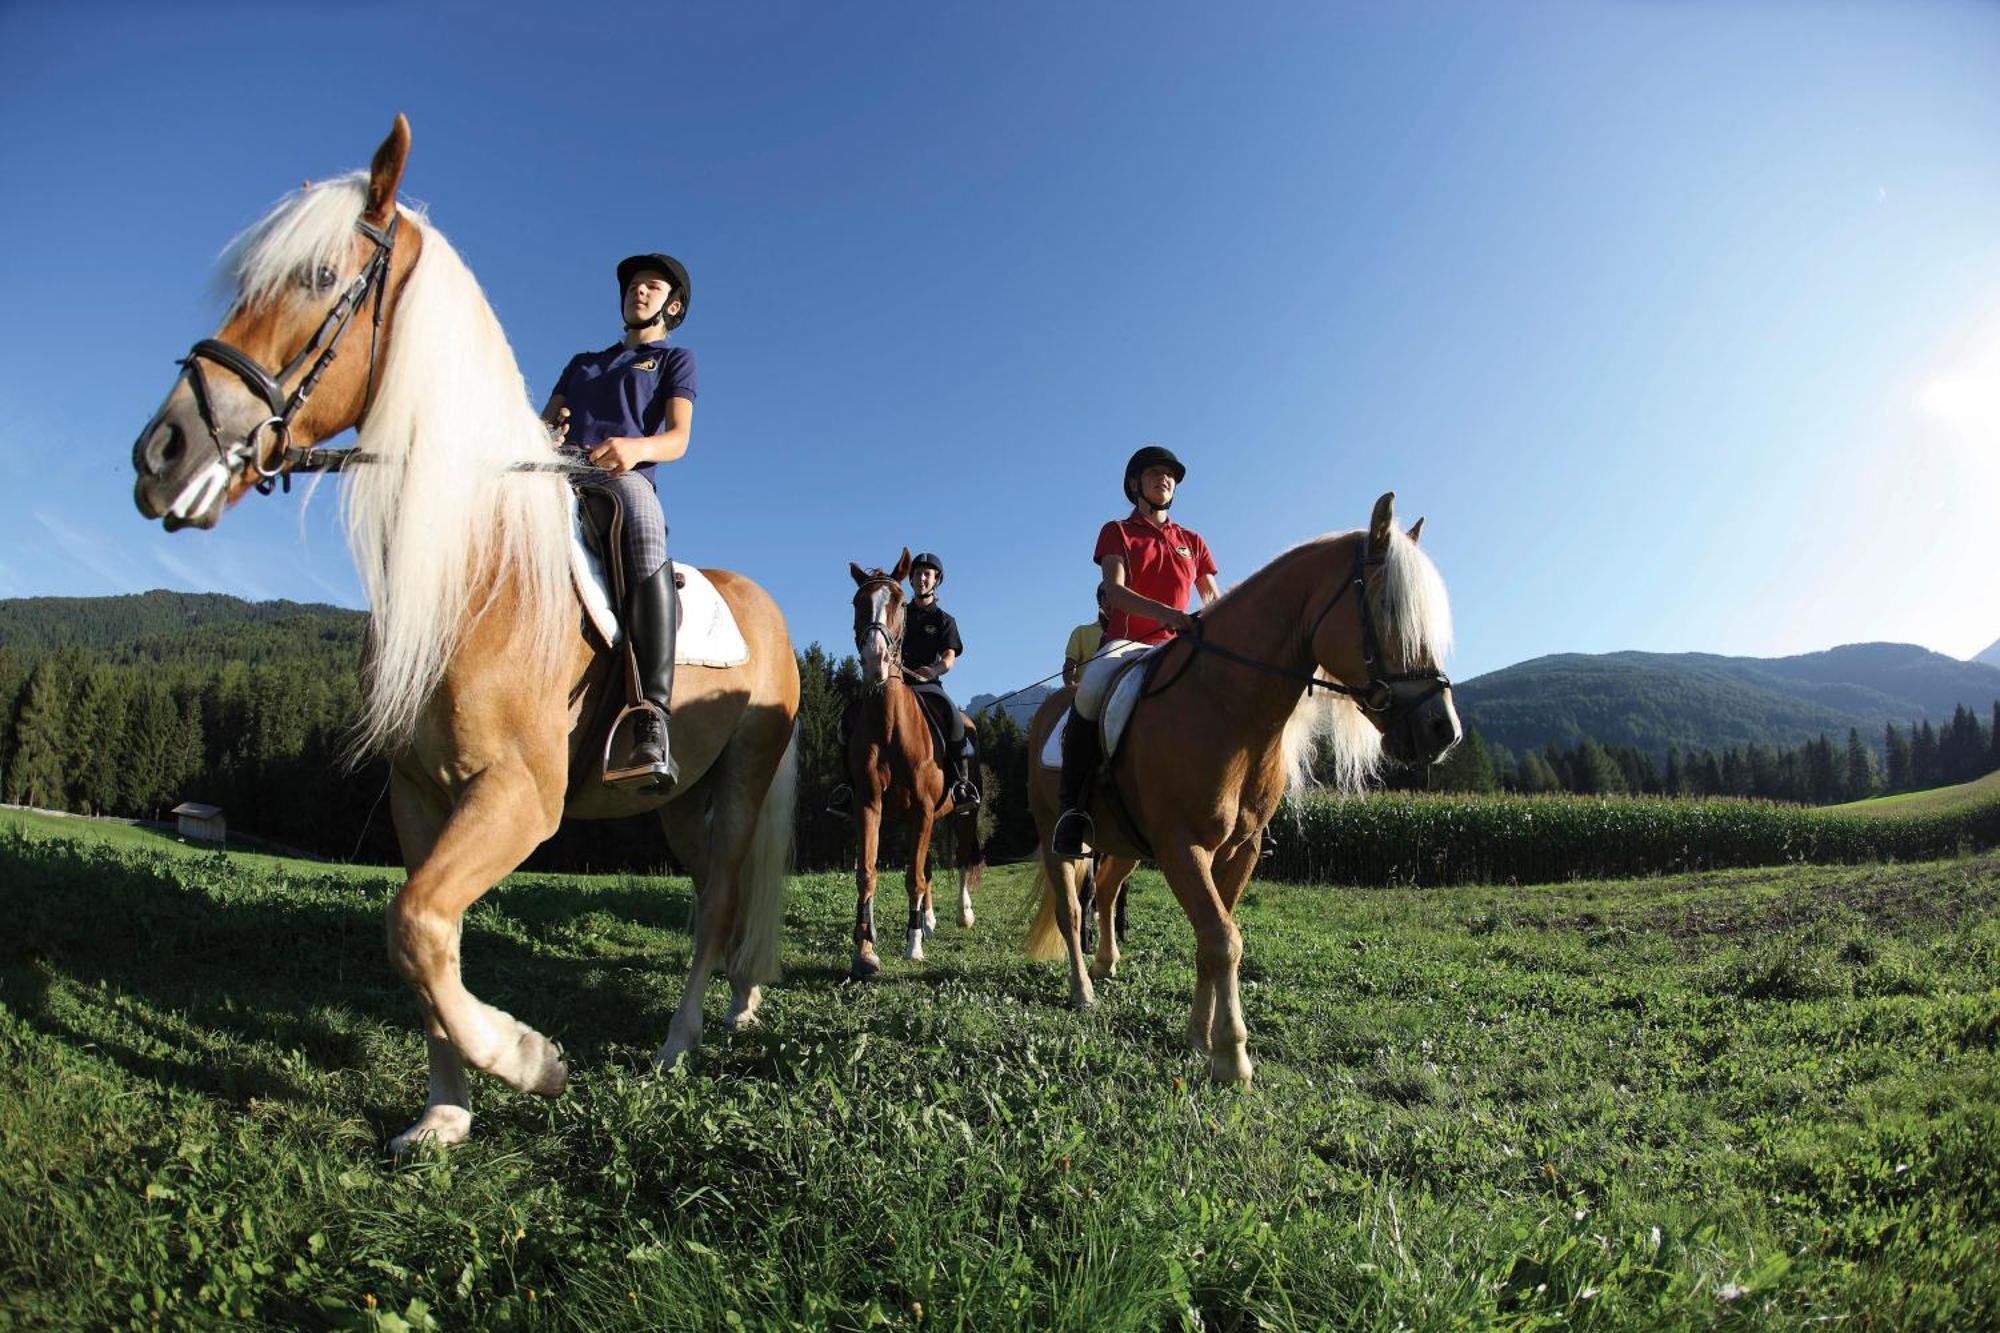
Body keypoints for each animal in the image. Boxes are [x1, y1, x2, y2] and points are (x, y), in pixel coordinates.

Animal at [127, 116, 804, 1152]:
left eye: (318, 277)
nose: (164, 452)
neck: (476, 572)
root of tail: (767, 606)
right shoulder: (420, 793)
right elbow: (423, 935)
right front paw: (445, 1109)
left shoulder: (521, 796)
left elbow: (414, 923)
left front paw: (530, 1060)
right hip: (678, 800)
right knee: (710, 908)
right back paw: (735, 1005)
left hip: (740, 781)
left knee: (722, 901)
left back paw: (676, 1045)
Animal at [844, 548, 984, 976]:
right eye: (857, 602)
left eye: (899, 602)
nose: (875, 660)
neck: (892, 726)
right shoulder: (870, 804)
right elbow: (868, 873)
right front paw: (865, 950)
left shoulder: (923, 809)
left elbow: (913, 878)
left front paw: (913, 944)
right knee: (929, 869)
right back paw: (930, 919)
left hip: (962, 814)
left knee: (960, 859)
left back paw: (961, 915)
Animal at [1024, 492, 1464, 1088]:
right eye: (1389, 610)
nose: (1444, 730)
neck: (1226, 703)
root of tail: (1054, 702)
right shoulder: (1183, 846)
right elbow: (1223, 939)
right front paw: (1232, 1056)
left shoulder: (1240, 848)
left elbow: (1214, 938)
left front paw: (1198, 1038)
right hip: (1058, 838)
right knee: (1072, 912)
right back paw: (1083, 990)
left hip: (1126, 842)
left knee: (1109, 890)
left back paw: (1107, 965)